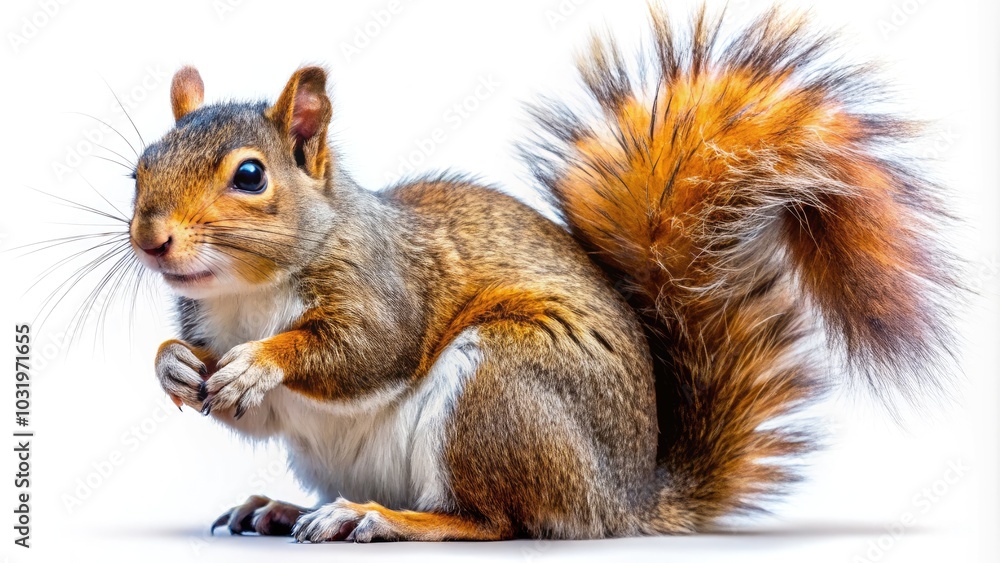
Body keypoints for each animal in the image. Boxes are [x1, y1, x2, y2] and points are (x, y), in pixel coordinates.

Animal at [129, 6, 958, 542]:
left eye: (249, 175)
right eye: (139, 168)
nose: (151, 239)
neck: (245, 293)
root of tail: (622, 497)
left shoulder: (385, 286)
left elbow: (362, 349)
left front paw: (260, 362)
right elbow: (244, 403)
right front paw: (173, 363)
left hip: (502, 387)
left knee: (494, 520)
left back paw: (379, 516)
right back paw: (280, 509)